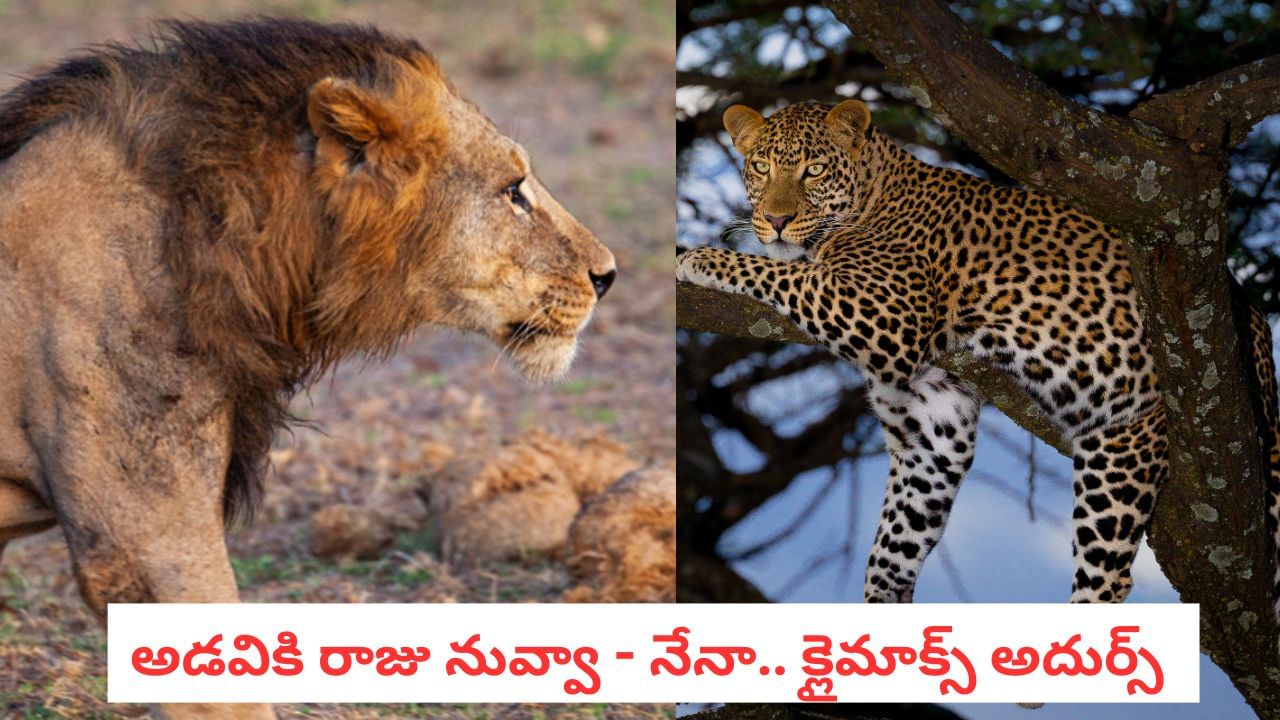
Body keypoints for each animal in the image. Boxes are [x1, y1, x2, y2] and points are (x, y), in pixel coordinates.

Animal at [677, 99, 1280, 619]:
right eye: (760, 167)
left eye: (815, 170)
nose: (776, 220)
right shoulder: (933, 419)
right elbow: (895, 543)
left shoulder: (884, 310)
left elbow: (780, 272)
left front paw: (698, 257)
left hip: (1124, 448)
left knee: (1109, 578)